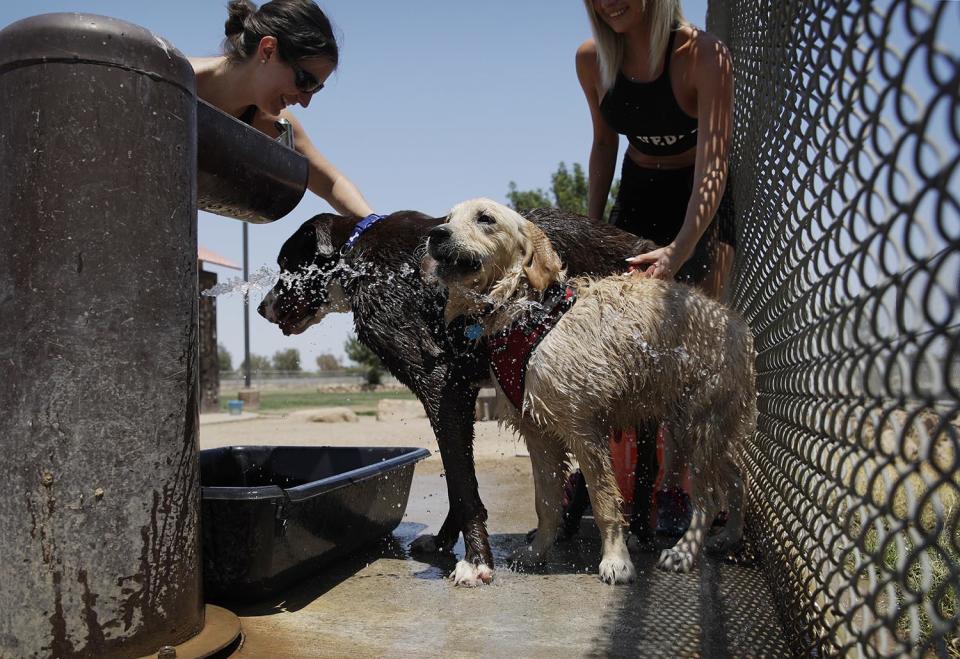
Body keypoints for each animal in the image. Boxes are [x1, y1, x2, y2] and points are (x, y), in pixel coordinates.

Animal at [258, 209, 656, 584]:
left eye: (287, 265)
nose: (262, 308)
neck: (356, 253)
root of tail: (636, 243)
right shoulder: (463, 389)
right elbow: (457, 479)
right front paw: (444, 542)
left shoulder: (440, 384)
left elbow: (462, 485)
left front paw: (477, 561)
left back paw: (636, 533)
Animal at [428, 199, 756, 580]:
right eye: (448, 218)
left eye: (485, 218)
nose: (436, 234)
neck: (526, 312)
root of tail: (737, 325)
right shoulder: (538, 432)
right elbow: (546, 503)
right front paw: (537, 553)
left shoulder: (583, 428)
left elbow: (603, 502)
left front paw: (616, 561)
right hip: (703, 426)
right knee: (737, 479)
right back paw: (729, 537)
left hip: (697, 422)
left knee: (708, 498)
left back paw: (684, 552)